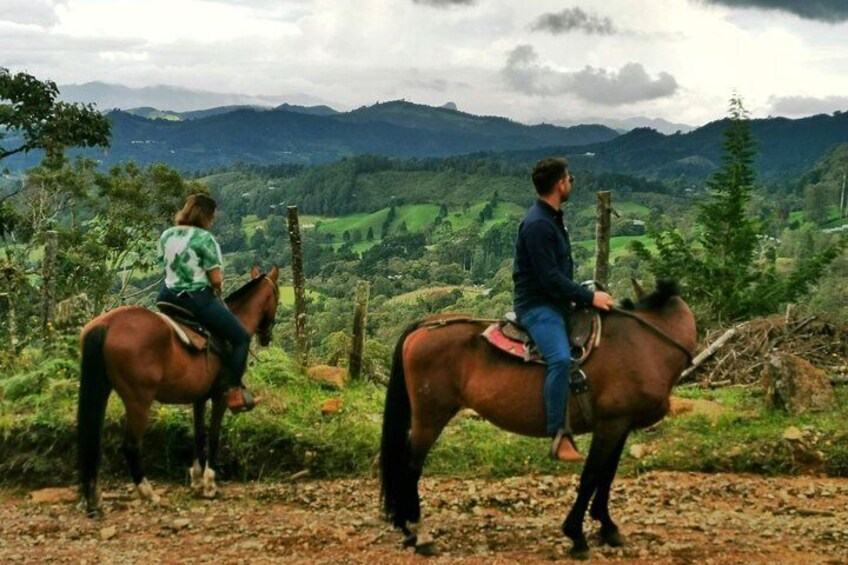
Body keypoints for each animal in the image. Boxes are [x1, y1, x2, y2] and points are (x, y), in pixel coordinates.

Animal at [78, 264, 280, 516]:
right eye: (277, 297)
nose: (266, 337)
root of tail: (107, 324)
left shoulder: (199, 398)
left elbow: (199, 434)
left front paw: (197, 480)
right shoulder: (220, 396)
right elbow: (214, 435)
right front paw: (210, 484)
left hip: (102, 388)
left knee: (92, 441)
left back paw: (94, 499)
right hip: (139, 399)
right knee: (131, 446)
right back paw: (148, 493)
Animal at [380, 280, 696, 556]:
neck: (645, 344)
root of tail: (424, 326)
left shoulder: (621, 426)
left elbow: (606, 477)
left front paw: (607, 528)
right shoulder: (610, 425)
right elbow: (591, 477)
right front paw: (576, 535)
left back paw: (408, 529)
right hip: (430, 417)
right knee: (410, 468)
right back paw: (420, 534)